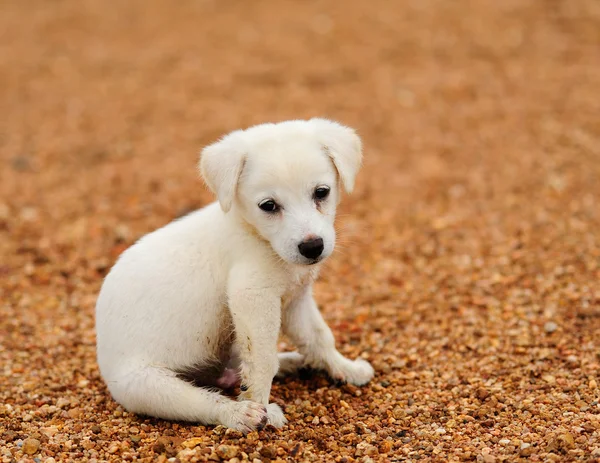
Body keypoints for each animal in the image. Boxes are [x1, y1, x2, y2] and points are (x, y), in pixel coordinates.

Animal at [95, 118, 372, 434]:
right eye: (268, 205)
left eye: (321, 192)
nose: (312, 247)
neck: (257, 236)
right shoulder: (252, 296)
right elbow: (262, 361)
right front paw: (262, 408)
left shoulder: (295, 300)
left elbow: (319, 337)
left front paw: (346, 369)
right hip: (148, 386)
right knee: (205, 402)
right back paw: (243, 413)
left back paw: (290, 363)